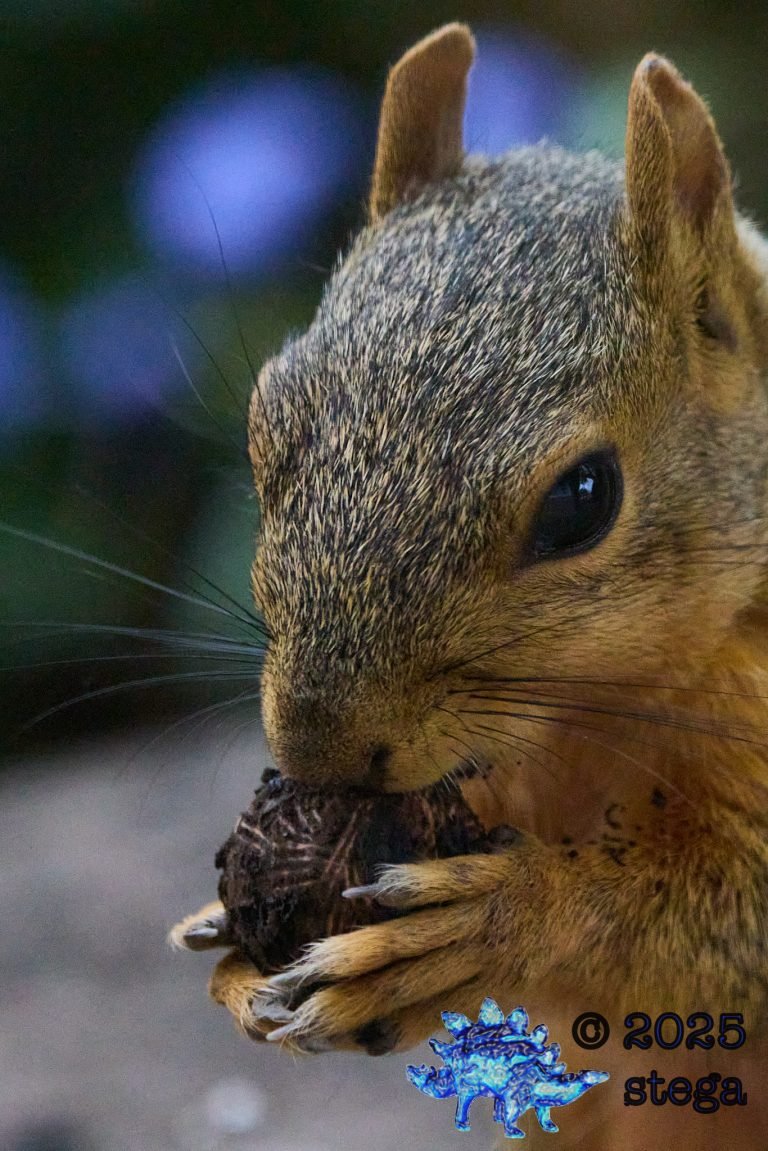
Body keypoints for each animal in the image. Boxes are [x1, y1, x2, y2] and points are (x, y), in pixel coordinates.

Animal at [173, 24, 768, 1150]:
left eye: (583, 498)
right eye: (266, 422)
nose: (317, 748)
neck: (586, 716)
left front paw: (500, 916)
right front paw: (225, 939)